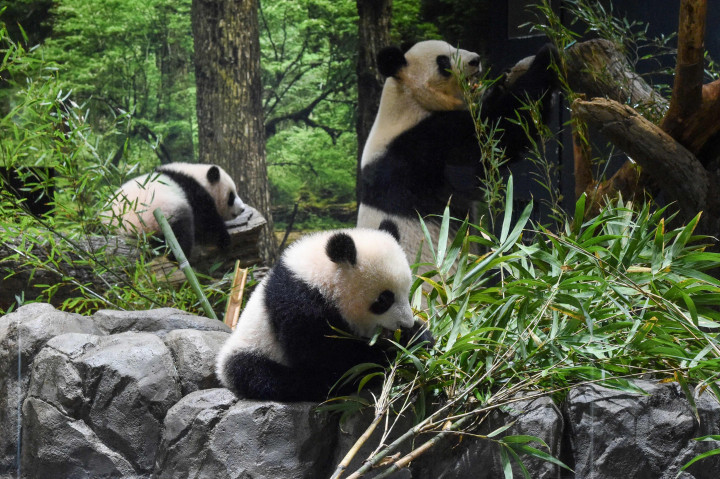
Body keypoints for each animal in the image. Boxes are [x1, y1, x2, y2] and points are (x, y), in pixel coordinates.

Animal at [107, 162, 246, 258]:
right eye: (231, 196)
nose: (242, 209)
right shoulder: (192, 192)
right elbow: (206, 219)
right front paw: (224, 239)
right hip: (160, 214)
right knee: (180, 230)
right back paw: (178, 254)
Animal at [215, 220, 433, 402]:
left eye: (407, 291)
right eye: (384, 300)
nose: (405, 323)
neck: (319, 276)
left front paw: (416, 336)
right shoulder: (299, 304)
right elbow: (326, 356)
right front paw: (387, 352)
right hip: (252, 350)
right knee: (262, 375)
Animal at [357, 39, 558, 265]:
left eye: (454, 47)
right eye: (443, 61)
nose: (475, 60)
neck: (408, 100)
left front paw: (502, 80)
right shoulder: (420, 150)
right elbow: (494, 136)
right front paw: (546, 57)